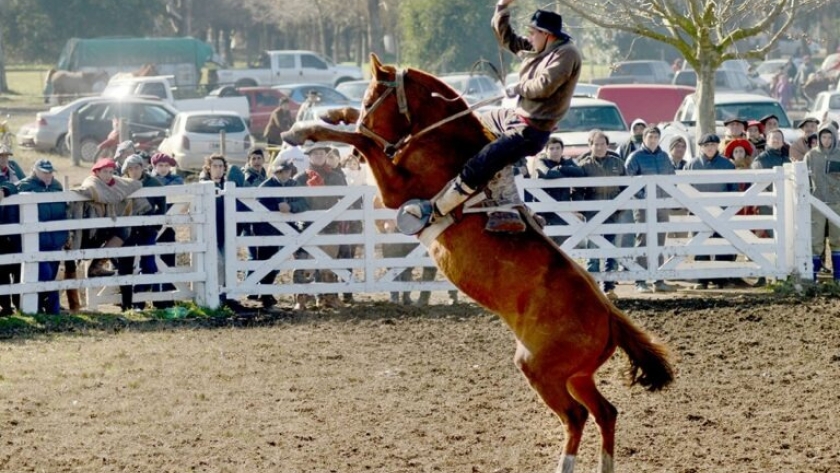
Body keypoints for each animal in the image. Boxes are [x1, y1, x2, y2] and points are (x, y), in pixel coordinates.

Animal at [282, 53, 676, 472]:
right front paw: (322, 116)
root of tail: (609, 316)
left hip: (543, 371)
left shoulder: (395, 191)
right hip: (578, 375)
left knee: (577, 416)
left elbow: (365, 141)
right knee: (606, 412)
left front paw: (309, 131)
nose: (353, 160)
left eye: (374, 98)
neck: (444, 140)